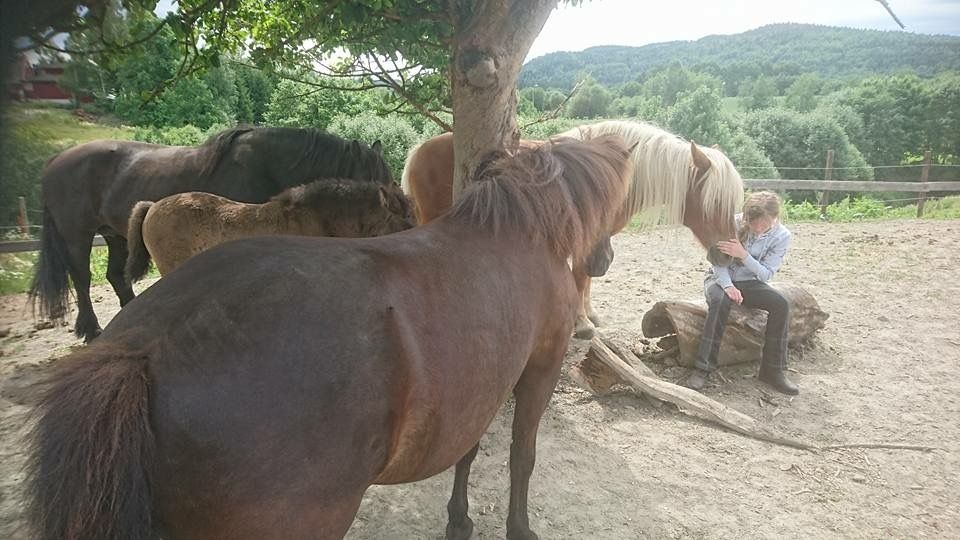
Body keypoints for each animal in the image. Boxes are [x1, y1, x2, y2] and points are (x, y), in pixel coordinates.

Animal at [401, 120, 745, 338]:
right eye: (716, 201)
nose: (730, 255)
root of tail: (419, 149)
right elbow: (579, 277)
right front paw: (581, 324)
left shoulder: (598, 240)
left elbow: (589, 279)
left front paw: (590, 314)